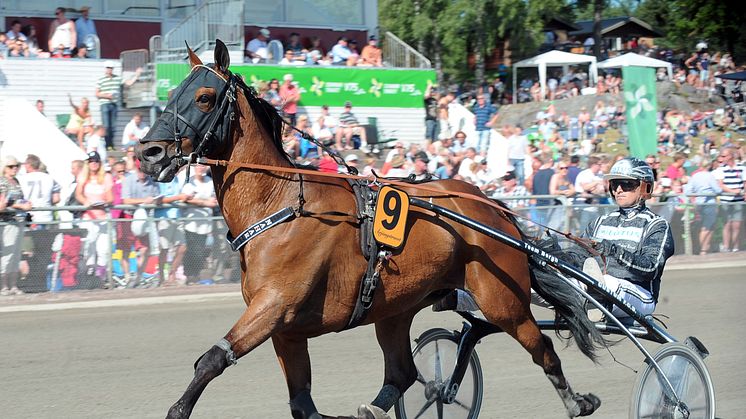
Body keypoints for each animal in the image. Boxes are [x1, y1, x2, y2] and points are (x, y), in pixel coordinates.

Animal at [135, 40, 604, 419]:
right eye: (171, 93)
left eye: (204, 97)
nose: (150, 152)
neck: (279, 205)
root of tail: (495, 208)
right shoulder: (286, 331)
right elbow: (301, 403)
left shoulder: (274, 307)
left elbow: (213, 360)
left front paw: (177, 409)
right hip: (396, 307)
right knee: (402, 373)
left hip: (502, 300)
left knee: (542, 349)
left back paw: (578, 401)